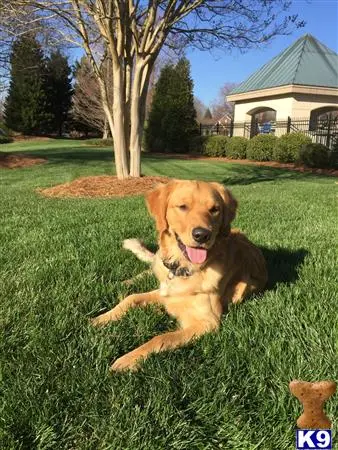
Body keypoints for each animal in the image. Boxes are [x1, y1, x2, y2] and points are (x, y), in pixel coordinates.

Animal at [92, 180, 266, 372]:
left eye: (215, 209)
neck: (183, 268)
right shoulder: (165, 292)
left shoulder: (208, 322)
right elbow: (131, 298)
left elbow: (161, 338)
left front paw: (128, 359)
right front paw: (100, 319)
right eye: (183, 206)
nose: (202, 235)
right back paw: (126, 281)